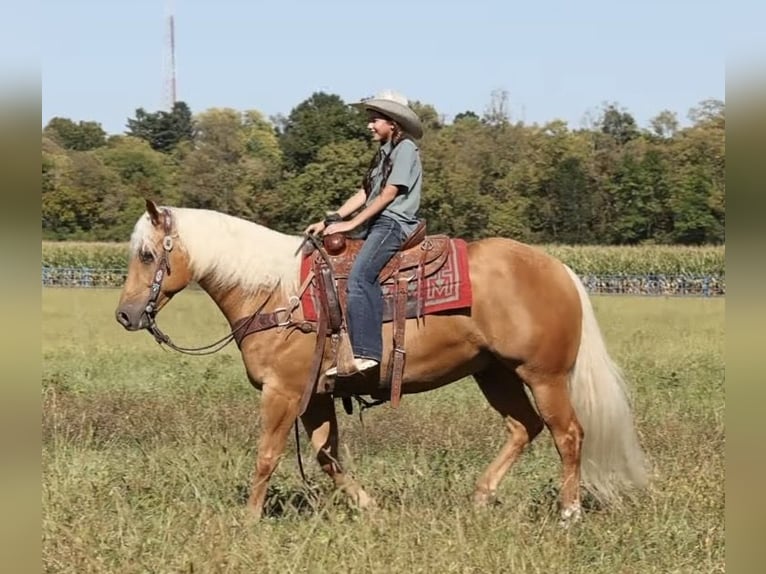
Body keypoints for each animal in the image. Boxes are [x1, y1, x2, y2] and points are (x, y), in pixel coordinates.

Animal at [115, 199, 647, 524]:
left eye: (147, 255)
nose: (125, 315)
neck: (276, 291)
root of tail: (560, 269)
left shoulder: (283, 392)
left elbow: (267, 455)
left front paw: (248, 520)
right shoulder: (315, 396)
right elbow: (327, 456)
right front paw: (370, 508)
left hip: (544, 376)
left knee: (568, 434)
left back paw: (568, 512)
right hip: (493, 373)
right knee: (523, 428)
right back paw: (481, 496)